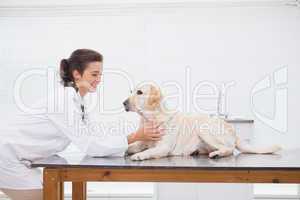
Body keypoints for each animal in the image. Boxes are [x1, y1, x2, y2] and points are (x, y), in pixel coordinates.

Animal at [123, 83, 282, 160]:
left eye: (139, 92)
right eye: (130, 91)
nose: (123, 103)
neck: (151, 118)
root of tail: (233, 131)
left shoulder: (163, 147)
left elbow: (149, 151)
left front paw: (139, 155)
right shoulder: (143, 141)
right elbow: (132, 146)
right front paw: (128, 150)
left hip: (204, 129)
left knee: (229, 149)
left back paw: (217, 154)